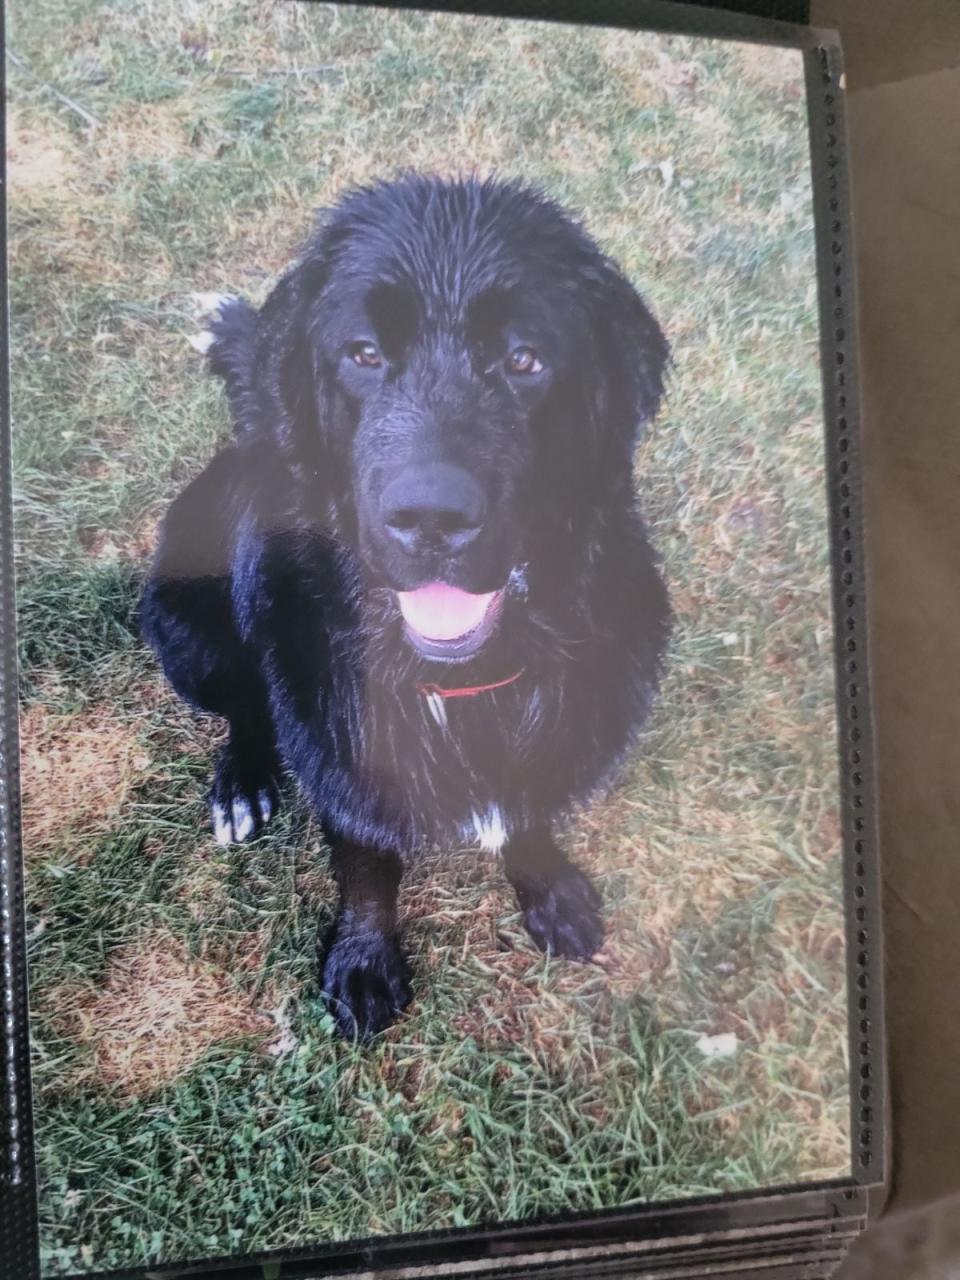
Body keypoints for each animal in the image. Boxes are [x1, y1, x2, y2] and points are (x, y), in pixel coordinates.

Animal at [140, 175, 670, 1039]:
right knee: (246, 708)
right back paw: (242, 785)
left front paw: (547, 886)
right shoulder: (336, 742)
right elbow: (363, 858)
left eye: (524, 359)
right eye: (363, 353)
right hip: (187, 633)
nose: (431, 517)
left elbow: (529, 803)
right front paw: (364, 959)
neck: (456, 677)